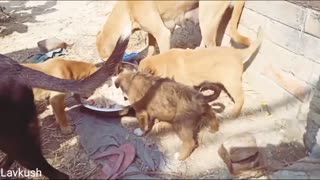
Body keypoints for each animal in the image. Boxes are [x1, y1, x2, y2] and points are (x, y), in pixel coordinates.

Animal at [97, 0, 250, 59]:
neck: (127, 7)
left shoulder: (162, 34)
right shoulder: (152, 33)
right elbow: (150, 49)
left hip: (207, 18)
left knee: (212, 46)